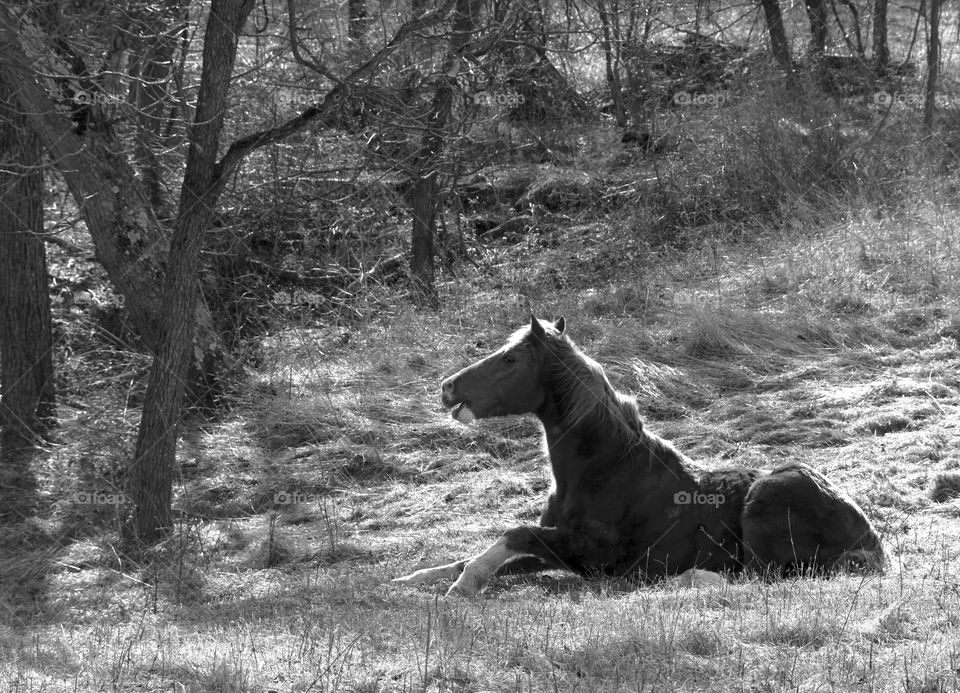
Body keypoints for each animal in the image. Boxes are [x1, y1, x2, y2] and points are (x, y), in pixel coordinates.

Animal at [392, 316, 884, 596]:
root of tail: (872, 542)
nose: (447, 388)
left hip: (767, 500)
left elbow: (514, 535)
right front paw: (412, 579)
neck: (606, 469)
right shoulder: (564, 549)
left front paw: (463, 586)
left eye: (511, 359)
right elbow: (495, 552)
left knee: (759, 577)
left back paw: (686, 580)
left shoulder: (593, 556)